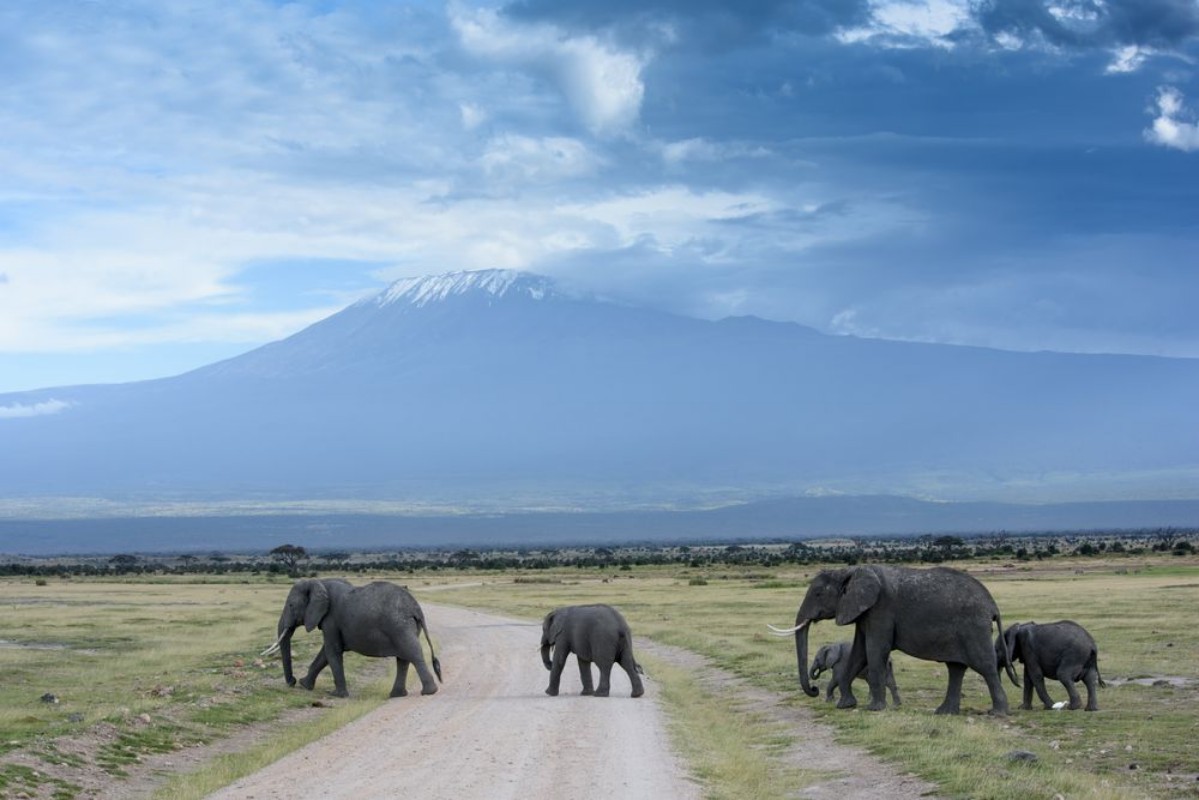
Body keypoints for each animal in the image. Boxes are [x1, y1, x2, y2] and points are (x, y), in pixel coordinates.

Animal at [262, 578, 446, 695]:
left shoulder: (331, 619)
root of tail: (416, 608)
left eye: (291, 605)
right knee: (403, 658)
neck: (319, 582)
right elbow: (325, 653)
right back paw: (396, 695)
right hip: (406, 627)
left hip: (400, 626)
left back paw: (429, 692)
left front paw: (336, 694)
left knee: (412, 653)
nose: (292, 682)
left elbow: (332, 651)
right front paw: (305, 685)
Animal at [772, 566, 1016, 714]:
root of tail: (993, 606)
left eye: (818, 594)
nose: (814, 689)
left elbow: (874, 650)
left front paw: (874, 709)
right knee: (955, 668)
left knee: (985, 666)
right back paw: (944, 712)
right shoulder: (864, 613)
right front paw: (845, 705)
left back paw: (997, 713)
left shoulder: (881, 609)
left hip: (974, 628)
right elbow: (859, 652)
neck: (851, 571)